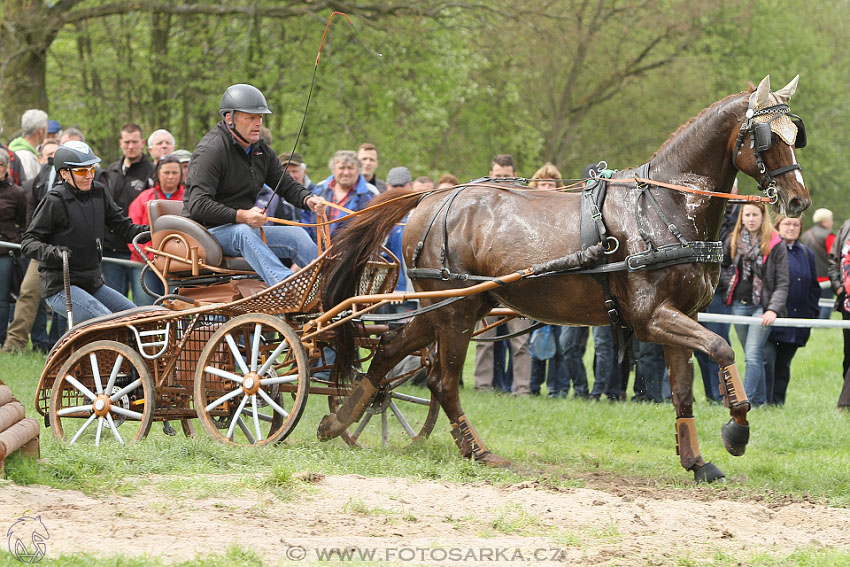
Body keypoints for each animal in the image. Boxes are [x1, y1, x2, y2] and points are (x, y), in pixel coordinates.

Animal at [318, 76, 808, 484]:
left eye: (795, 135)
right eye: (766, 138)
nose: (799, 200)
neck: (664, 206)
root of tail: (431, 197)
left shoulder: (681, 316)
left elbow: (683, 392)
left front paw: (696, 461)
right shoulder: (652, 317)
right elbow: (723, 348)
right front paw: (737, 430)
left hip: (453, 306)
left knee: (389, 349)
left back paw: (342, 419)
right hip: (453, 310)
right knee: (442, 381)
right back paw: (476, 449)